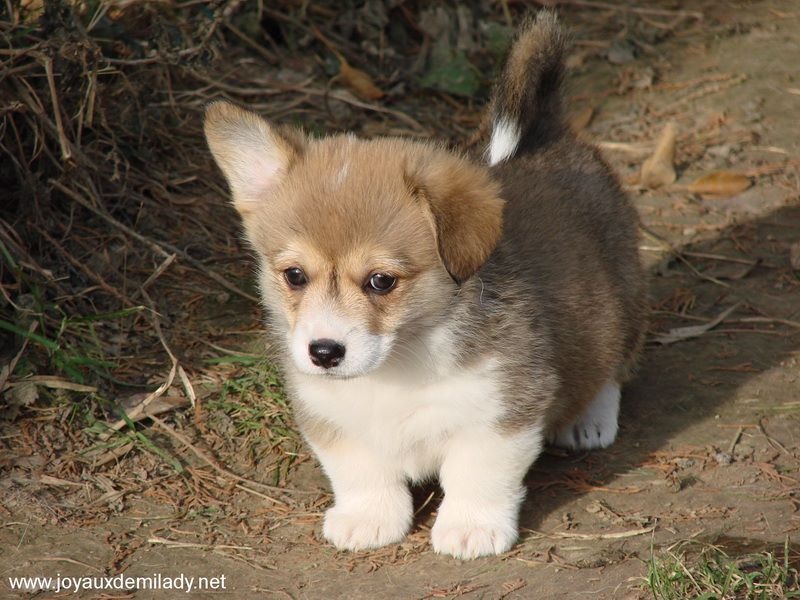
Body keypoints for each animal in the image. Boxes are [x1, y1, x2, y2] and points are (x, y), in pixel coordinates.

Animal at [203, 11, 648, 560]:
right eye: (294, 276)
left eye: (381, 281)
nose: (324, 353)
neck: (398, 363)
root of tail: (541, 133)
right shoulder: (331, 417)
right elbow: (360, 472)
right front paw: (369, 519)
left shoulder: (502, 411)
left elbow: (478, 475)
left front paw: (471, 528)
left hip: (622, 298)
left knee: (612, 365)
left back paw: (588, 419)